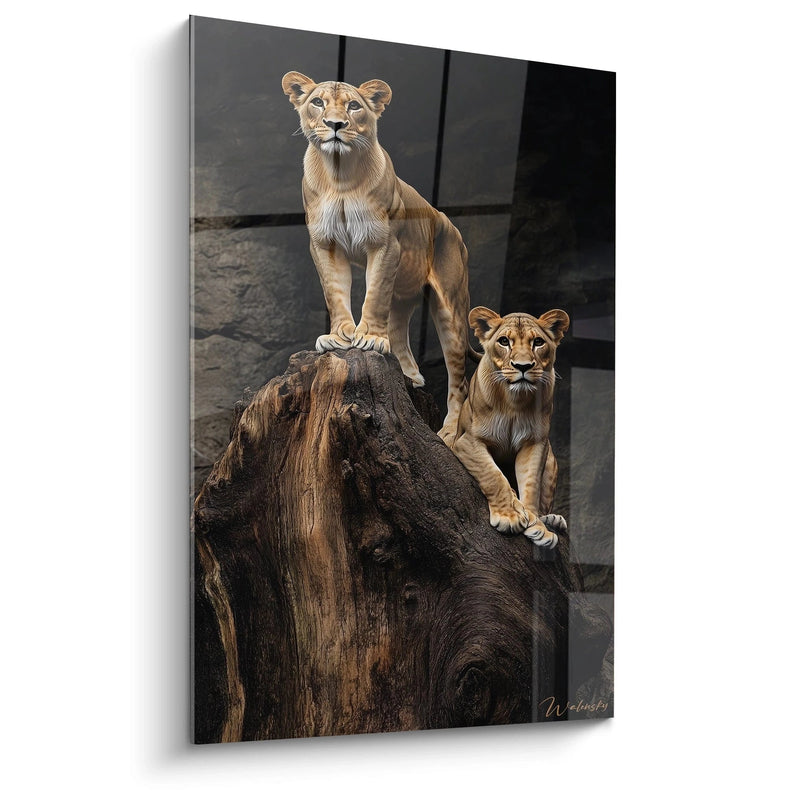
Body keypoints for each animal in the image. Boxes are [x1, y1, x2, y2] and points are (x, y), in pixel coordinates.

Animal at [281, 71, 471, 444]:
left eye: (354, 106)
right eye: (318, 102)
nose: (335, 124)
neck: (339, 174)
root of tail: (453, 229)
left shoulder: (385, 244)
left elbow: (374, 293)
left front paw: (368, 337)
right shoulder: (324, 244)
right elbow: (335, 291)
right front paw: (340, 335)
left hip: (452, 308)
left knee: (461, 381)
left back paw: (448, 432)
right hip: (405, 292)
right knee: (398, 328)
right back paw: (410, 375)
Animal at [452, 306, 570, 548]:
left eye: (538, 342)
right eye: (504, 341)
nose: (523, 367)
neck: (514, 403)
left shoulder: (535, 443)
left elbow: (531, 484)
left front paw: (536, 524)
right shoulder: (467, 441)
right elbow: (493, 475)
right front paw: (510, 516)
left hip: (552, 461)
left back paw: (554, 519)